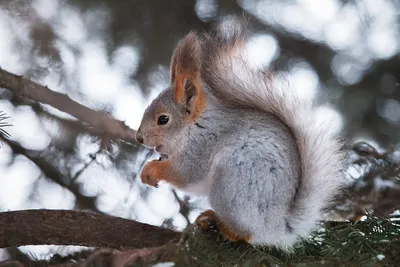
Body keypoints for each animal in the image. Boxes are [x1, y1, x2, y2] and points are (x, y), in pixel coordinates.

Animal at [136, 17, 346, 249]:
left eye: (163, 119)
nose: (139, 138)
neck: (195, 125)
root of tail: (278, 226)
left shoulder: (203, 144)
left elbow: (185, 172)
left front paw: (151, 170)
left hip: (231, 181)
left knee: (246, 233)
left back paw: (224, 227)